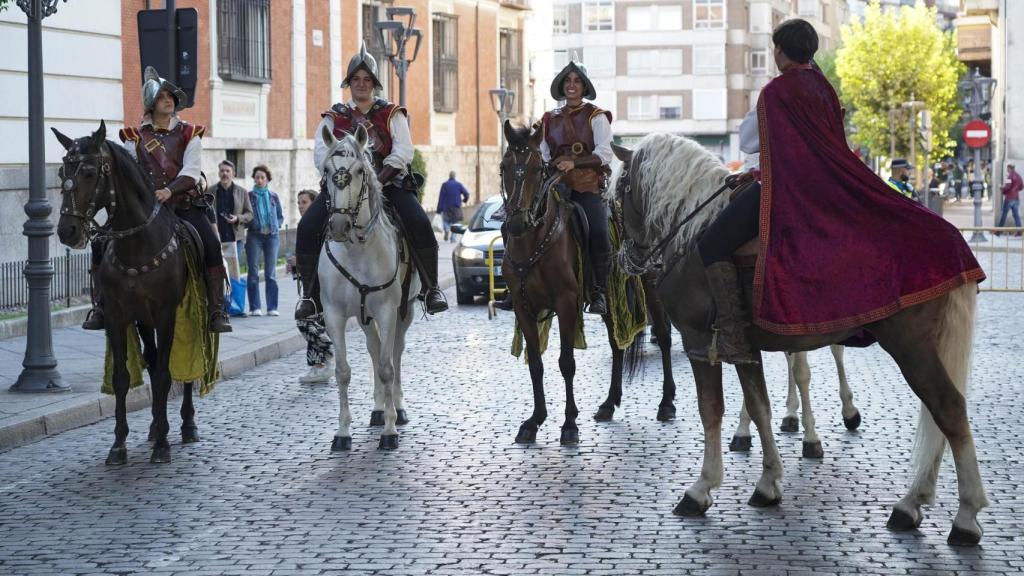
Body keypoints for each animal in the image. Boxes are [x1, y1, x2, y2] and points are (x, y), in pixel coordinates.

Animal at [53, 120, 199, 461]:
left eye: (89, 172)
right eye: (62, 171)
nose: (67, 231)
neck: (137, 245)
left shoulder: (166, 314)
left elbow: (165, 374)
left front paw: (162, 446)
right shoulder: (118, 317)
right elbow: (122, 378)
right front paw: (119, 444)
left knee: (181, 366)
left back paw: (186, 426)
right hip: (144, 321)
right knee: (154, 361)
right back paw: (156, 426)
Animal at [315, 124, 419, 448]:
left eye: (360, 170)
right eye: (327, 169)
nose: (338, 226)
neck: (357, 250)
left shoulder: (388, 310)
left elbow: (387, 367)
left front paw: (390, 430)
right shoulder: (335, 315)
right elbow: (343, 372)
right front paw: (342, 432)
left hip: (405, 311)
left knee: (394, 351)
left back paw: (397, 407)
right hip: (364, 316)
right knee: (374, 349)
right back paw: (377, 409)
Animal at [499, 121, 675, 444]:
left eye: (537, 169)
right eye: (505, 166)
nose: (517, 222)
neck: (533, 241)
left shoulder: (566, 302)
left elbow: (566, 363)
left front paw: (569, 424)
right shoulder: (522, 306)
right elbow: (536, 364)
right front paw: (534, 421)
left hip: (652, 287)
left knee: (664, 336)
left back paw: (667, 403)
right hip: (610, 297)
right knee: (617, 343)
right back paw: (608, 404)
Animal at [610, 132, 987, 545]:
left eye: (615, 197)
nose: (626, 259)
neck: (693, 231)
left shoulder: (698, 342)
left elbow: (711, 410)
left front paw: (701, 487)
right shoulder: (745, 347)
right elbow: (759, 407)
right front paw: (768, 482)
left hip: (913, 347)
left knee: (948, 410)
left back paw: (964, 515)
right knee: (938, 414)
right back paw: (912, 502)